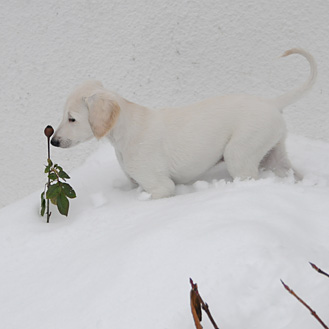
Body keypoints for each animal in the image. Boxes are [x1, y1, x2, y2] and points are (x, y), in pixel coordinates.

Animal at [52, 47, 316, 199]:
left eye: (72, 118)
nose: (53, 141)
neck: (126, 129)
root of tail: (271, 102)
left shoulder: (161, 187)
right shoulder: (136, 182)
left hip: (240, 155)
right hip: (275, 155)